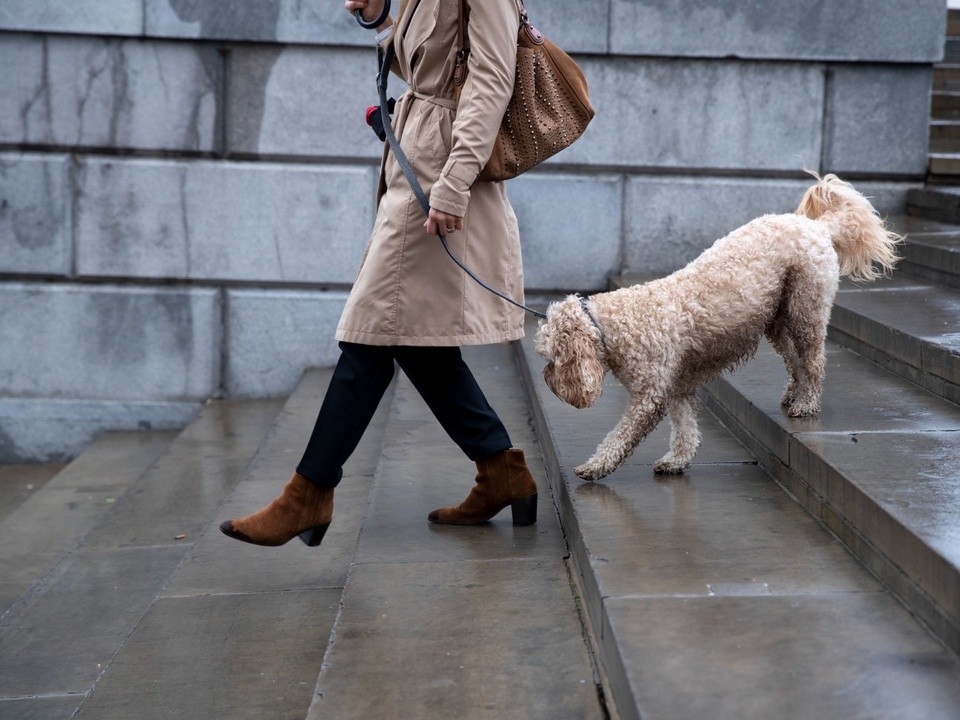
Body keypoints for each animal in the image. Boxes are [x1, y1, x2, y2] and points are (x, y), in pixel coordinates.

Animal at [536, 172, 904, 480]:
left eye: (552, 358)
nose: (548, 382)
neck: (612, 325)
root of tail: (819, 227)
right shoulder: (678, 387)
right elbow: (685, 428)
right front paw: (677, 460)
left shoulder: (649, 396)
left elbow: (620, 436)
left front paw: (595, 466)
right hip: (777, 321)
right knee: (794, 360)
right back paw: (792, 394)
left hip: (806, 309)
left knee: (813, 362)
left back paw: (806, 403)